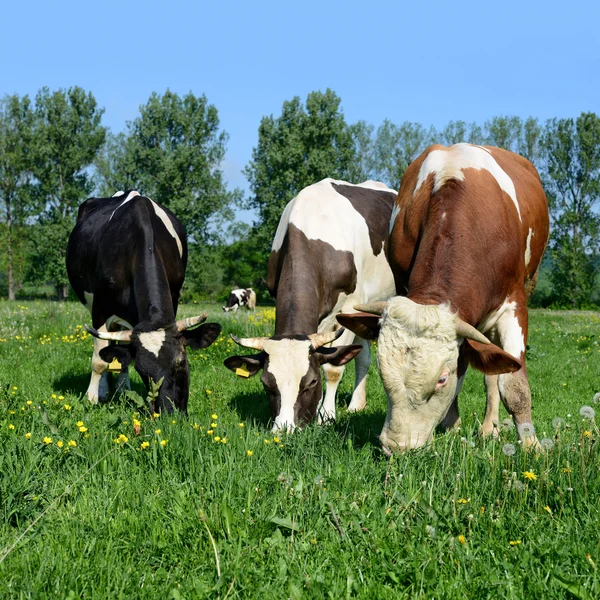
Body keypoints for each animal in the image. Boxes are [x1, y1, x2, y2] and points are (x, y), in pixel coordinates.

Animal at [66, 191, 220, 412]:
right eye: (142, 371)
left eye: (181, 363)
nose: (170, 411)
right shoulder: (100, 309)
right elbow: (100, 360)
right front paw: (92, 398)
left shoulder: (173, 300)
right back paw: (104, 390)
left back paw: (121, 389)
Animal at [223, 178, 396, 432]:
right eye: (266, 384)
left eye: (312, 381)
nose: (285, 429)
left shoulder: (347, 307)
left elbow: (333, 368)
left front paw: (327, 416)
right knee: (362, 357)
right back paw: (356, 405)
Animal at [338, 145, 548, 452]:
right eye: (383, 373)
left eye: (441, 379)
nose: (397, 446)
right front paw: (451, 427)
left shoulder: (514, 306)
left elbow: (513, 386)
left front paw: (532, 446)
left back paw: (490, 428)